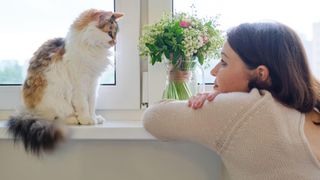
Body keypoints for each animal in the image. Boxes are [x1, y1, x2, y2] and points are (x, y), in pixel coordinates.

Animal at [6, 8, 124, 155]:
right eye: (110, 33)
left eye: (116, 34)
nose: (116, 42)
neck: (93, 50)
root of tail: (28, 111)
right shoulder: (80, 84)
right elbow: (83, 104)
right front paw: (86, 119)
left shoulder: (93, 83)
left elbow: (92, 104)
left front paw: (94, 118)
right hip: (54, 100)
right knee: (54, 117)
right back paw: (73, 119)